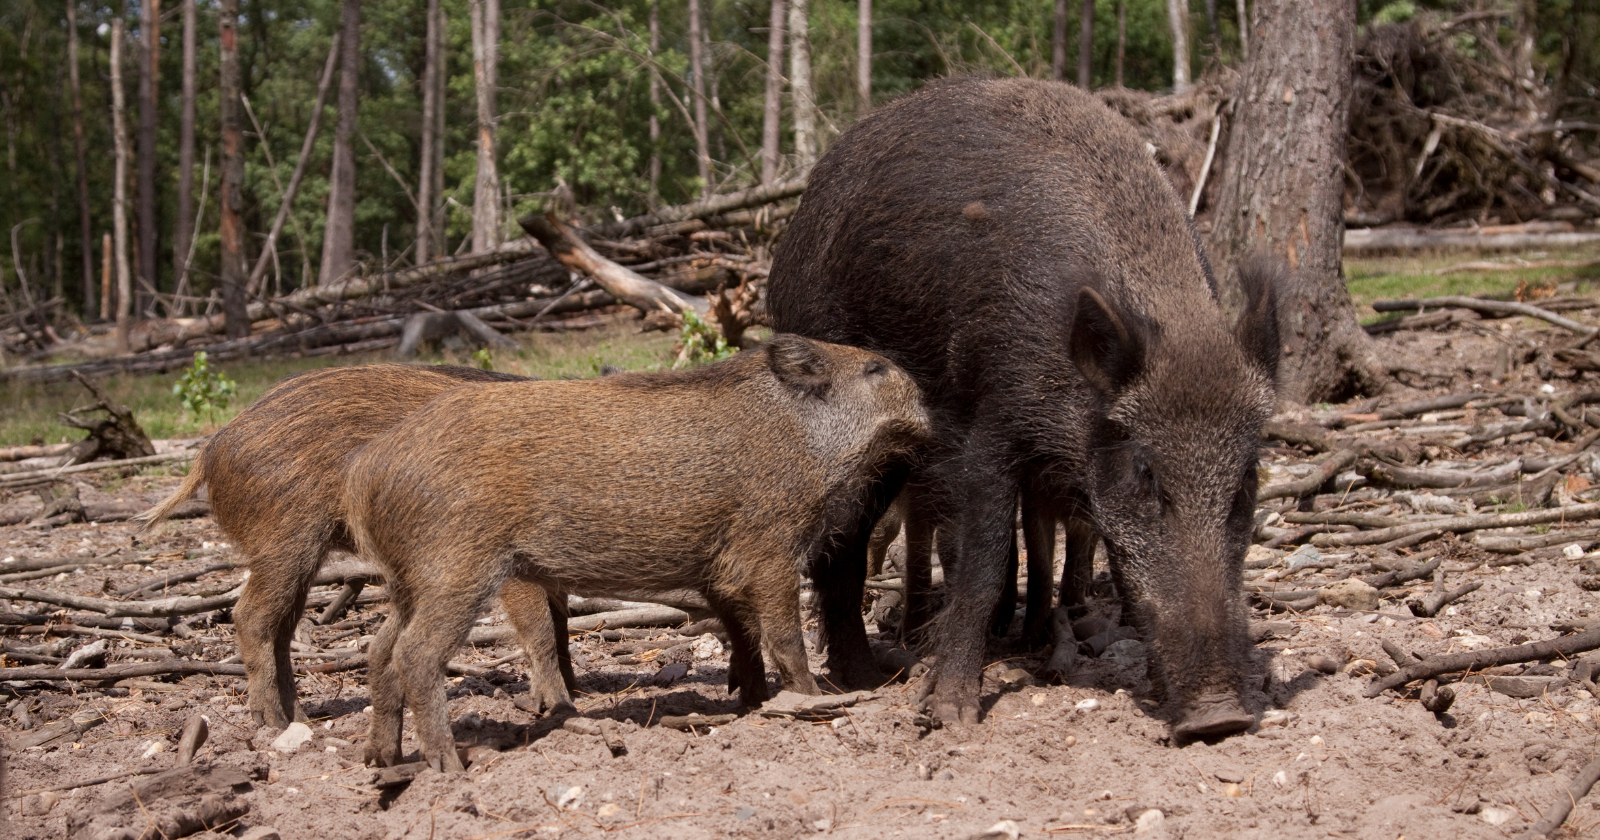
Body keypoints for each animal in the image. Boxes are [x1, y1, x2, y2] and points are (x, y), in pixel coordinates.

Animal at [138, 365, 574, 730]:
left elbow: (561, 628)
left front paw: (575, 692)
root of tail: (210, 449)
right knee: (249, 617)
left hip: (302, 557)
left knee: (282, 630)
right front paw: (561, 706)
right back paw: (272, 723)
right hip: (285, 542)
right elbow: (541, 630)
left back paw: (301, 720)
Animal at [343, 335, 930, 772]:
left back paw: (381, 758)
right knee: (415, 654)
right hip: (457, 572)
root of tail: (366, 470)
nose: (929, 407)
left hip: (408, 581)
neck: (803, 436)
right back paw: (451, 767)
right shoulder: (768, 550)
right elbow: (786, 637)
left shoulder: (720, 569)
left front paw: (753, 702)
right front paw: (811, 700)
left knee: (379, 648)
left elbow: (745, 636)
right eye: (875, 368)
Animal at [767, 77, 1280, 739]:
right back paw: (870, 678)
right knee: (841, 544)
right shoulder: (993, 419)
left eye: (1247, 478)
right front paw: (950, 714)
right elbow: (984, 560)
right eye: (1146, 471)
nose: (1220, 718)